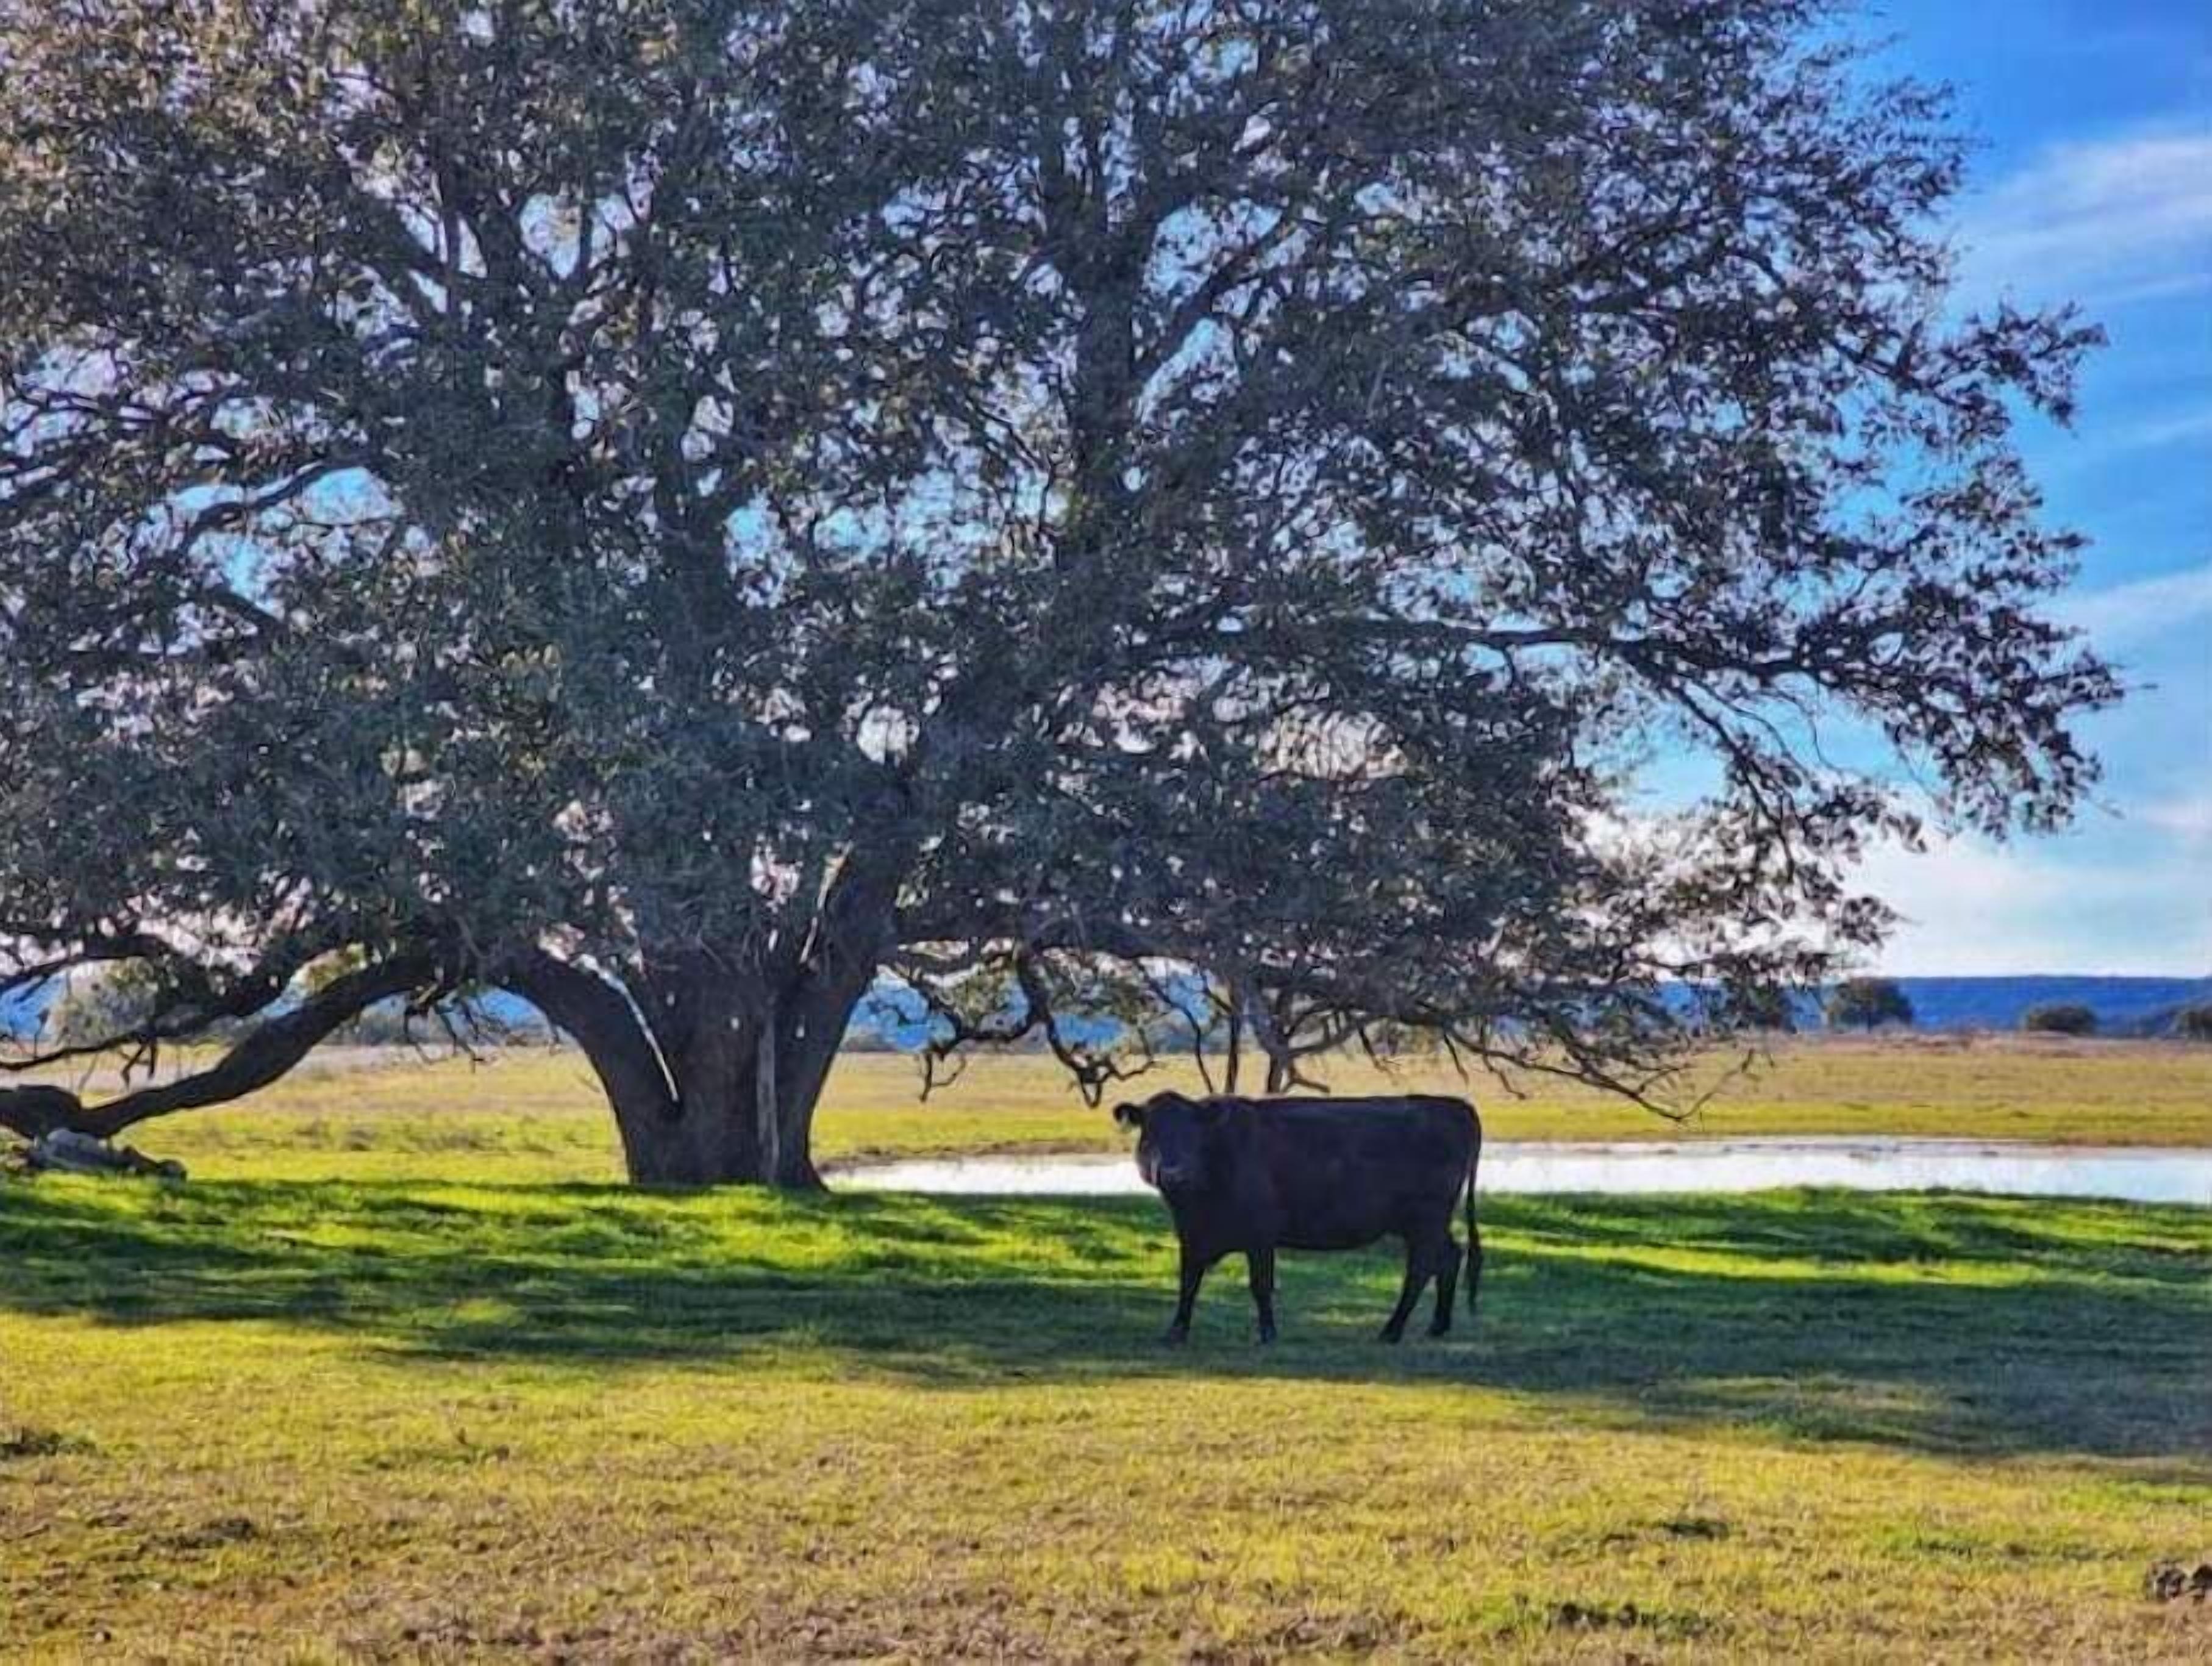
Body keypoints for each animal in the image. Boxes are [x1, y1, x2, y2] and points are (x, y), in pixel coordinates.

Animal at [1111, 1090, 1482, 1344]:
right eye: (1151, 1134)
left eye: (1193, 1136)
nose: (1175, 1174)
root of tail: (1452, 1105)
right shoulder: (1192, 1235)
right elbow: (1188, 1283)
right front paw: (1176, 1332)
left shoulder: (1260, 1233)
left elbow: (1261, 1285)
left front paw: (1268, 1333)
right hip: (1425, 1223)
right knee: (1450, 1256)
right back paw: (1437, 1326)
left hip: (1425, 1219)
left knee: (1420, 1269)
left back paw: (1391, 1331)